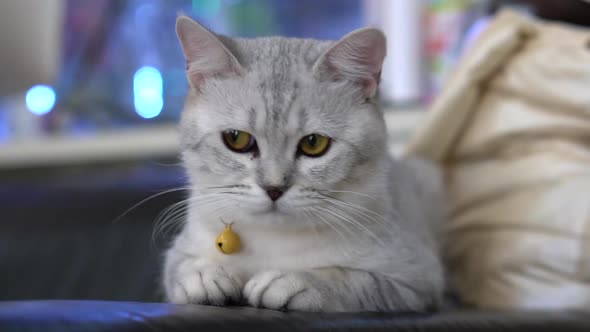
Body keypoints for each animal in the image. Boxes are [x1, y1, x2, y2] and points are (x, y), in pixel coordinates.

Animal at [164, 14, 446, 312]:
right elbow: (179, 267)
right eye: (237, 139)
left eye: (313, 143)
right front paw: (205, 275)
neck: (273, 241)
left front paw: (293, 281)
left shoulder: (416, 279)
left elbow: (353, 279)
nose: (274, 188)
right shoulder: (181, 249)